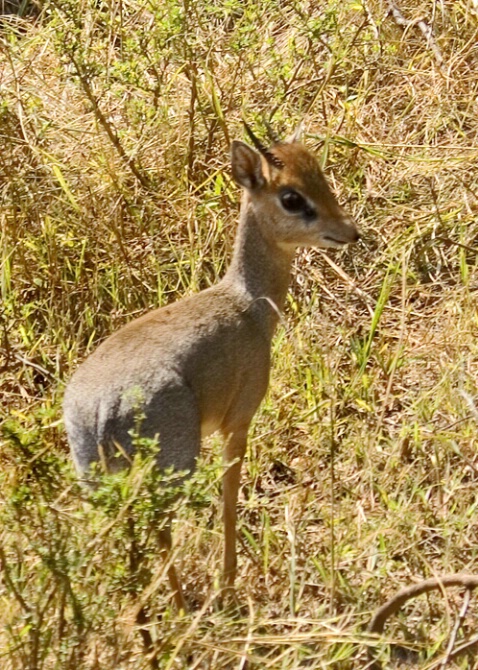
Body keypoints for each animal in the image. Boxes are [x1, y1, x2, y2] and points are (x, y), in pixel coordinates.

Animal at [64, 124, 358, 608]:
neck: (247, 303)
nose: (348, 231)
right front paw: (229, 581)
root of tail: (100, 409)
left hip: (96, 481)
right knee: (160, 528)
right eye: (292, 197)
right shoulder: (236, 424)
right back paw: (182, 607)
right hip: (172, 469)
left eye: (320, 174)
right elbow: (229, 499)